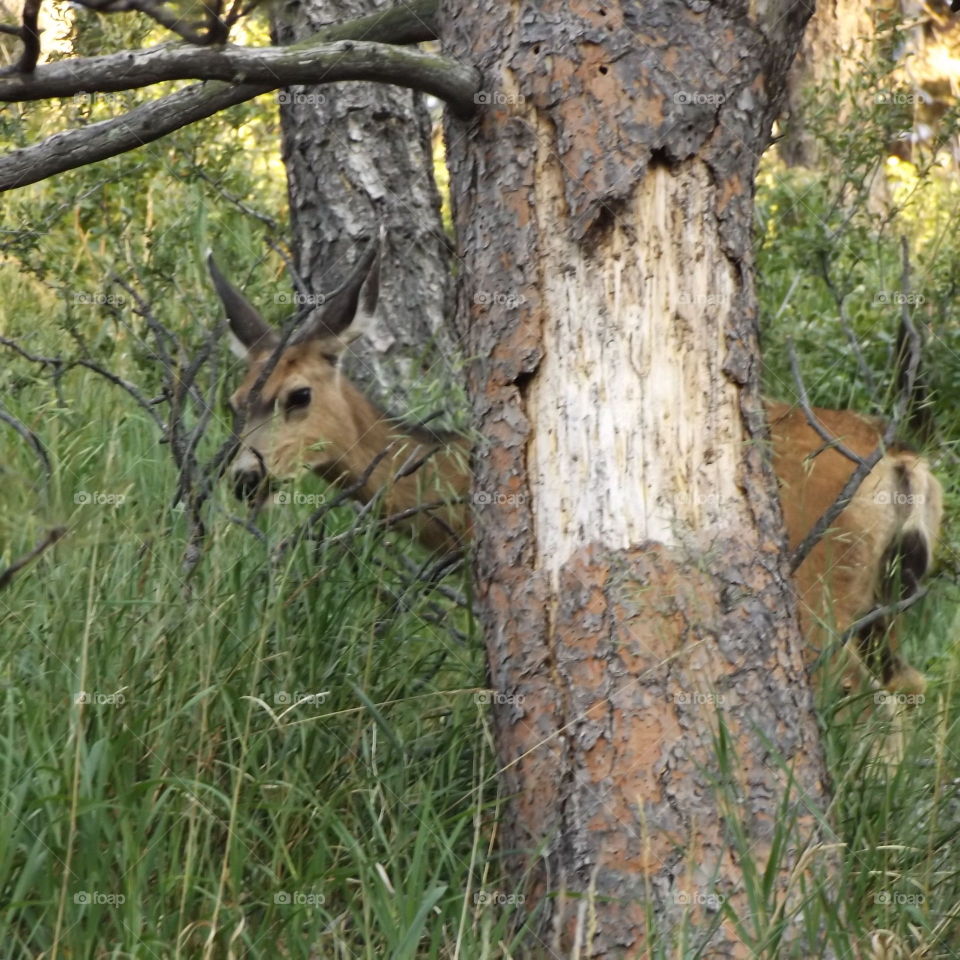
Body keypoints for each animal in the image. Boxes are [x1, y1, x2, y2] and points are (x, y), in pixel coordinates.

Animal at [208, 231, 936, 696]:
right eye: (234, 401)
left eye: (298, 395)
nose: (244, 479)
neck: (462, 490)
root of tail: (903, 463)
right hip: (884, 603)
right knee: (910, 685)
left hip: (822, 594)